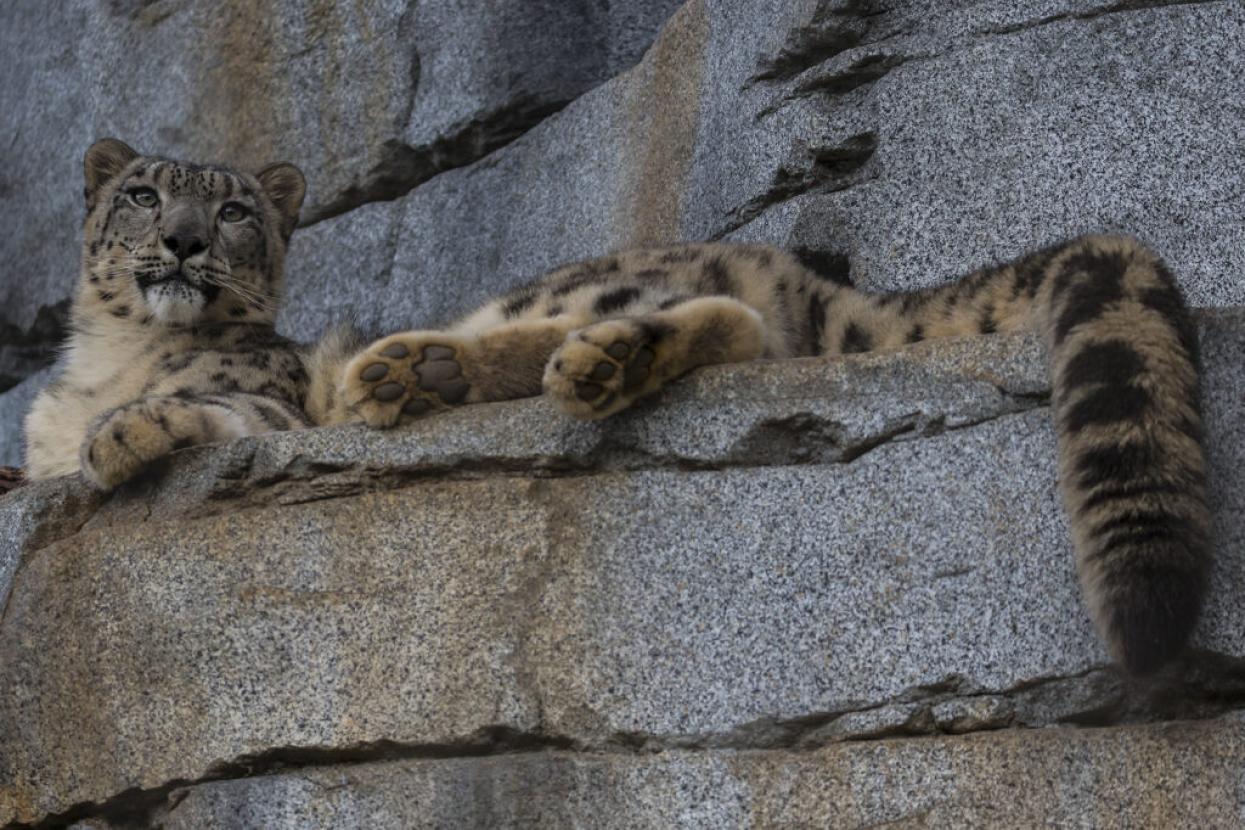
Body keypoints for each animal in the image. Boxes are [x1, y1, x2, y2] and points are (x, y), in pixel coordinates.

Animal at [23, 139, 358, 491]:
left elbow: (235, 405)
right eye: (144, 197)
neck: (115, 350)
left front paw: (120, 433)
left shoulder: (281, 406)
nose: (184, 240)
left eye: (232, 212)